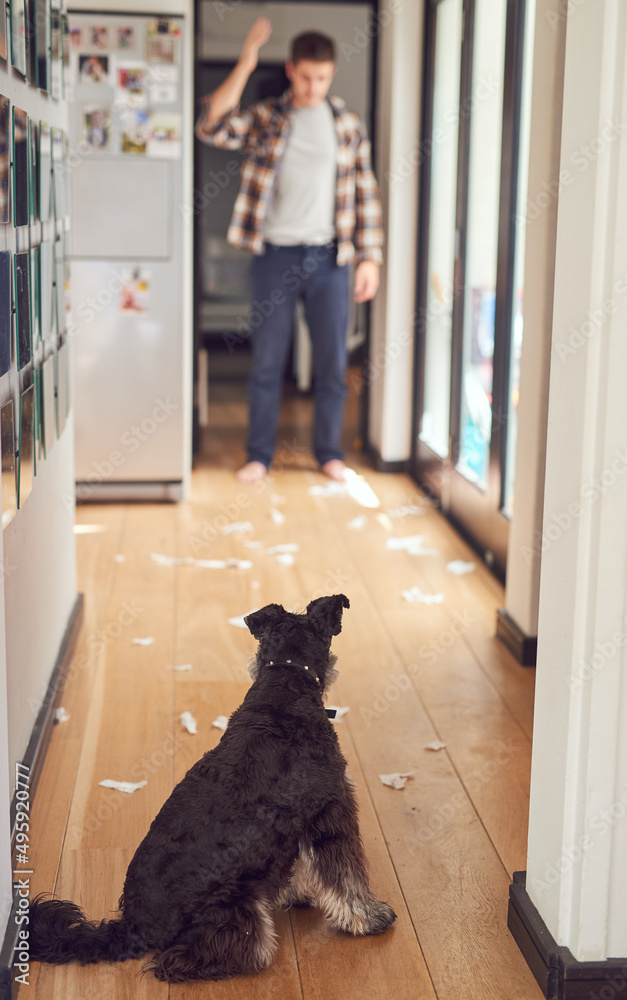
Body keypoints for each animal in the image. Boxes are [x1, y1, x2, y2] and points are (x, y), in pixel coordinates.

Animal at [30, 592, 398, 984]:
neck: (285, 686)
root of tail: (132, 927)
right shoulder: (333, 810)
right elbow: (349, 878)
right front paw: (372, 918)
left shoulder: (291, 829)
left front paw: (295, 892)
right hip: (238, 909)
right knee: (183, 960)